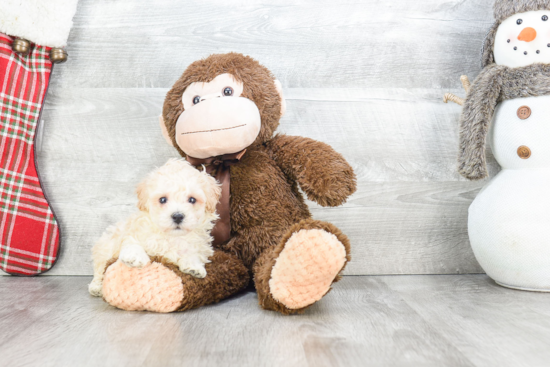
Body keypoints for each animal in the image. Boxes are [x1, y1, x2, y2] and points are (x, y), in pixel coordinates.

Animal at [89, 160, 221, 298]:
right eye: (162, 199)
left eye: (192, 199)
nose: (177, 216)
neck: (171, 237)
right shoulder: (132, 233)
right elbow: (132, 244)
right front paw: (134, 258)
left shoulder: (198, 246)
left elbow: (192, 253)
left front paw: (194, 266)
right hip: (105, 247)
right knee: (99, 268)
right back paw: (96, 287)